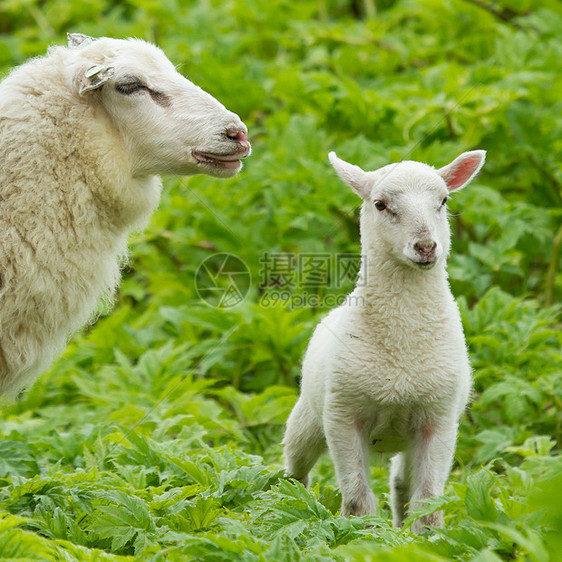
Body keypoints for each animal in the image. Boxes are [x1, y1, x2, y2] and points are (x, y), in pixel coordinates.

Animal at [282, 148, 484, 528]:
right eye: (380, 204)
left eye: (443, 201)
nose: (426, 247)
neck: (402, 345)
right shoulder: (343, 417)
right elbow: (358, 501)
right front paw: (362, 535)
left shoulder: (439, 419)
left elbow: (428, 503)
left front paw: (426, 538)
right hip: (308, 416)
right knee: (295, 469)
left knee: (401, 484)